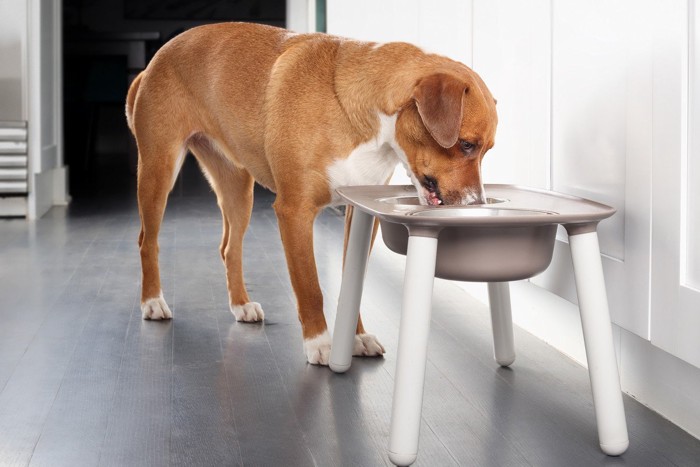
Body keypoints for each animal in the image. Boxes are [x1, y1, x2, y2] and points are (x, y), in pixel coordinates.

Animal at [126, 22, 498, 366]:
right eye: (467, 145)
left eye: (487, 150)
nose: (478, 204)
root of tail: (156, 59)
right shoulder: (294, 212)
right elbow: (310, 287)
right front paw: (319, 343)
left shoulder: (360, 214)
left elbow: (352, 284)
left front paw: (355, 338)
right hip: (158, 171)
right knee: (147, 241)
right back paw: (152, 302)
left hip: (238, 189)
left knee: (230, 248)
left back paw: (241, 305)